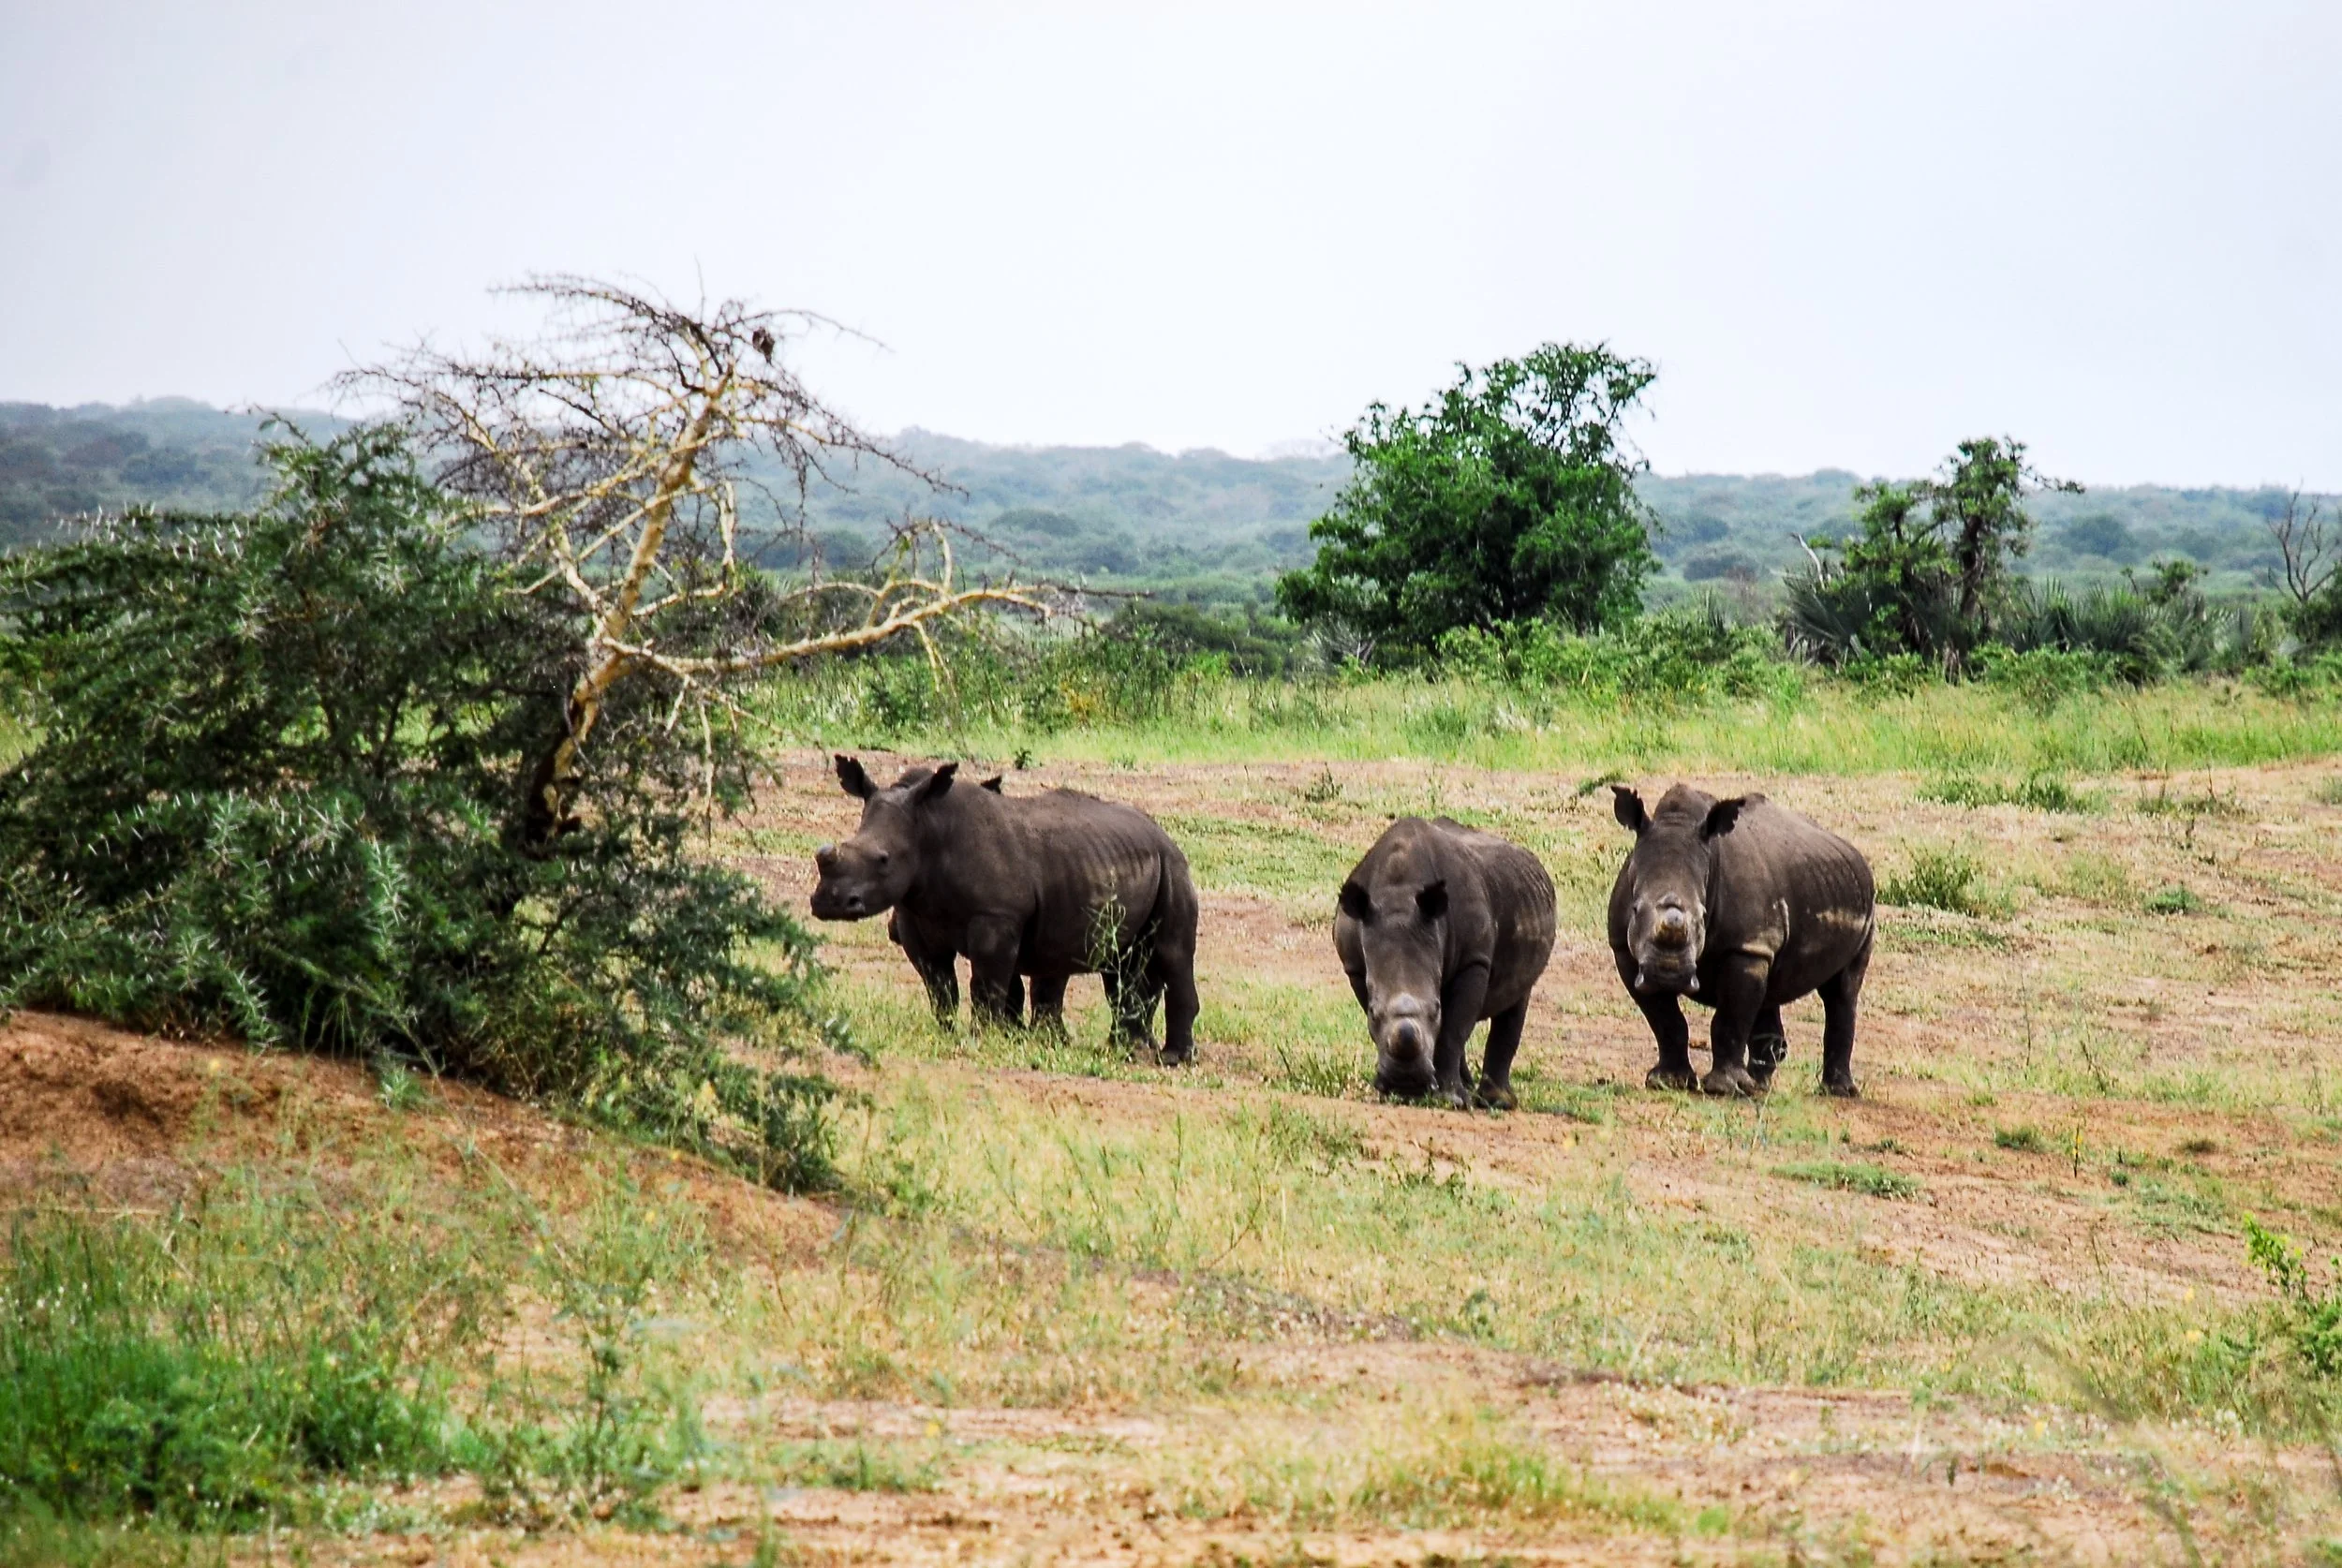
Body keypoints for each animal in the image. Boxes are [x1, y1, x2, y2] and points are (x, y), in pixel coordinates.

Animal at [811, 756, 1201, 1061]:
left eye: (883, 860)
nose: (829, 902)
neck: (929, 830)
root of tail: (1163, 833)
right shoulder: (917, 916)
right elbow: (940, 985)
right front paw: (950, 1033)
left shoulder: (996, 915)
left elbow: (987, 984)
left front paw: (984, 1038)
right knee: (1121, 966)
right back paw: (1126, 1049)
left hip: (1173, 866)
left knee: (1171, 953)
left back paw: (1172, 1058)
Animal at [1335, 816, 1557, 1109]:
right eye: (1373, 1011)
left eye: (1435, 1010)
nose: (1406, 1083)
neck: (1398, 895)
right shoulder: (1356, 968)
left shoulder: (1473, 960)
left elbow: (1453, 1029)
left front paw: (1452, 1100)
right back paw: (1468, 1090)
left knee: (1516, 997)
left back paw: (1496, 1101)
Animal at [1608, 784, 1874, 1097]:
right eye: (1636, 909)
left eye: (1702, 915)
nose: (1668, 972)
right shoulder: (1624, 950)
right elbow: (1666, 1021)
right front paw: (1668, 1082)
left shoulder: (1746, 946)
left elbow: (1730, 1019)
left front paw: (1724, 1088)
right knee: (1770, 989)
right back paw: (1758, 1086)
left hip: (1866, 905)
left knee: (1842, 991)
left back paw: (1837, 1091)